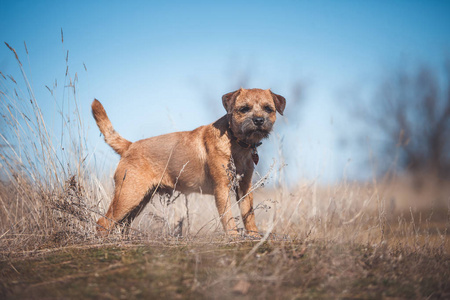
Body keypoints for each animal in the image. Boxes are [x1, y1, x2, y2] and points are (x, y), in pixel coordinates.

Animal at [93, 88, 286, 236]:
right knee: (103, 223)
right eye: (244, 109)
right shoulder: (222, 189)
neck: (236, 141)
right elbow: (228, 218)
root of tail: (129, 146)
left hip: (139, 200)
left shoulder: (244, 188)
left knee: (122, 224)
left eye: (268, 109)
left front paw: (254, 236)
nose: (259, 120)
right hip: (128, 195)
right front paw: (234, 238)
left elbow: (248, 216)